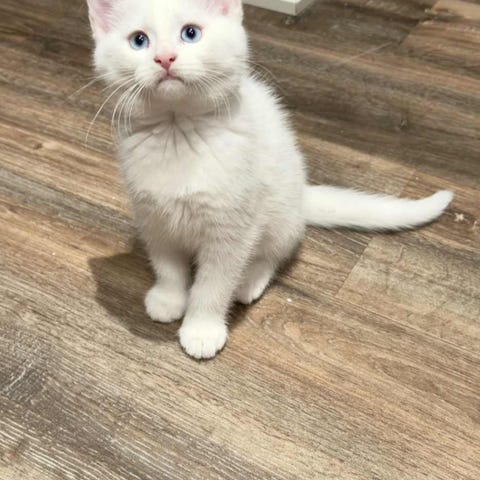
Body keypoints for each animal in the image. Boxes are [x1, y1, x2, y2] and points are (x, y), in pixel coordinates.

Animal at [87, 0, 453, 359]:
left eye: (190, 33)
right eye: (139, 40)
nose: (164, 57)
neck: (177, 132)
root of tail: (302, 196)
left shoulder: (232, 229)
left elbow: (214, 284)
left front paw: (202, 328)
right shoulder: (154, 219)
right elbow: (167, 266)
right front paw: (169, 298)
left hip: (277, 213)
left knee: (274, 253)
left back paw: (250, 280)